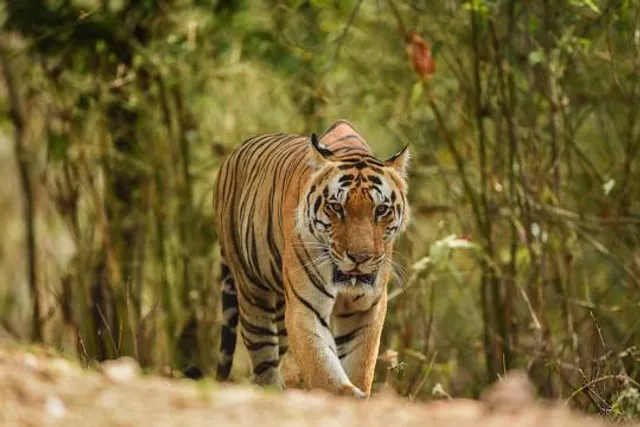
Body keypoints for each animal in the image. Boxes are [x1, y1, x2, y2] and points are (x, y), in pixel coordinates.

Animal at [213, 120, 410, 397]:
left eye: (381, 210)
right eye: (336, 207)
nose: (360, 258)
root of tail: (234, 153)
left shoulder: (367, 309)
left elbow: (360, 366)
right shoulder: (305, 308)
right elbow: (324, 371)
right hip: (251, 290)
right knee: (263, 356)